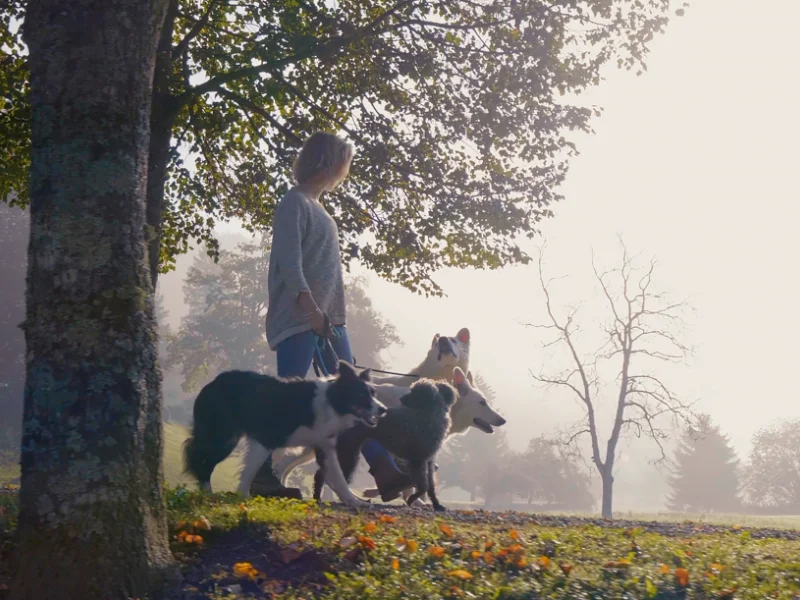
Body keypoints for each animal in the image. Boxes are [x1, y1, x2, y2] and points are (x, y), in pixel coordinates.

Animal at [188, 360, 388, 506]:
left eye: (373, 393)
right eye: (362, 395)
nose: (384, 409)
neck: (331, 402)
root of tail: (213, 382)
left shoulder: (324, 447)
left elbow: (338, 477)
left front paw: (354, 501)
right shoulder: (266, 438)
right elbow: (250, 470)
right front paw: (243, 497)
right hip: (223, 437)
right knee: (201, 461)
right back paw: (208, 493)